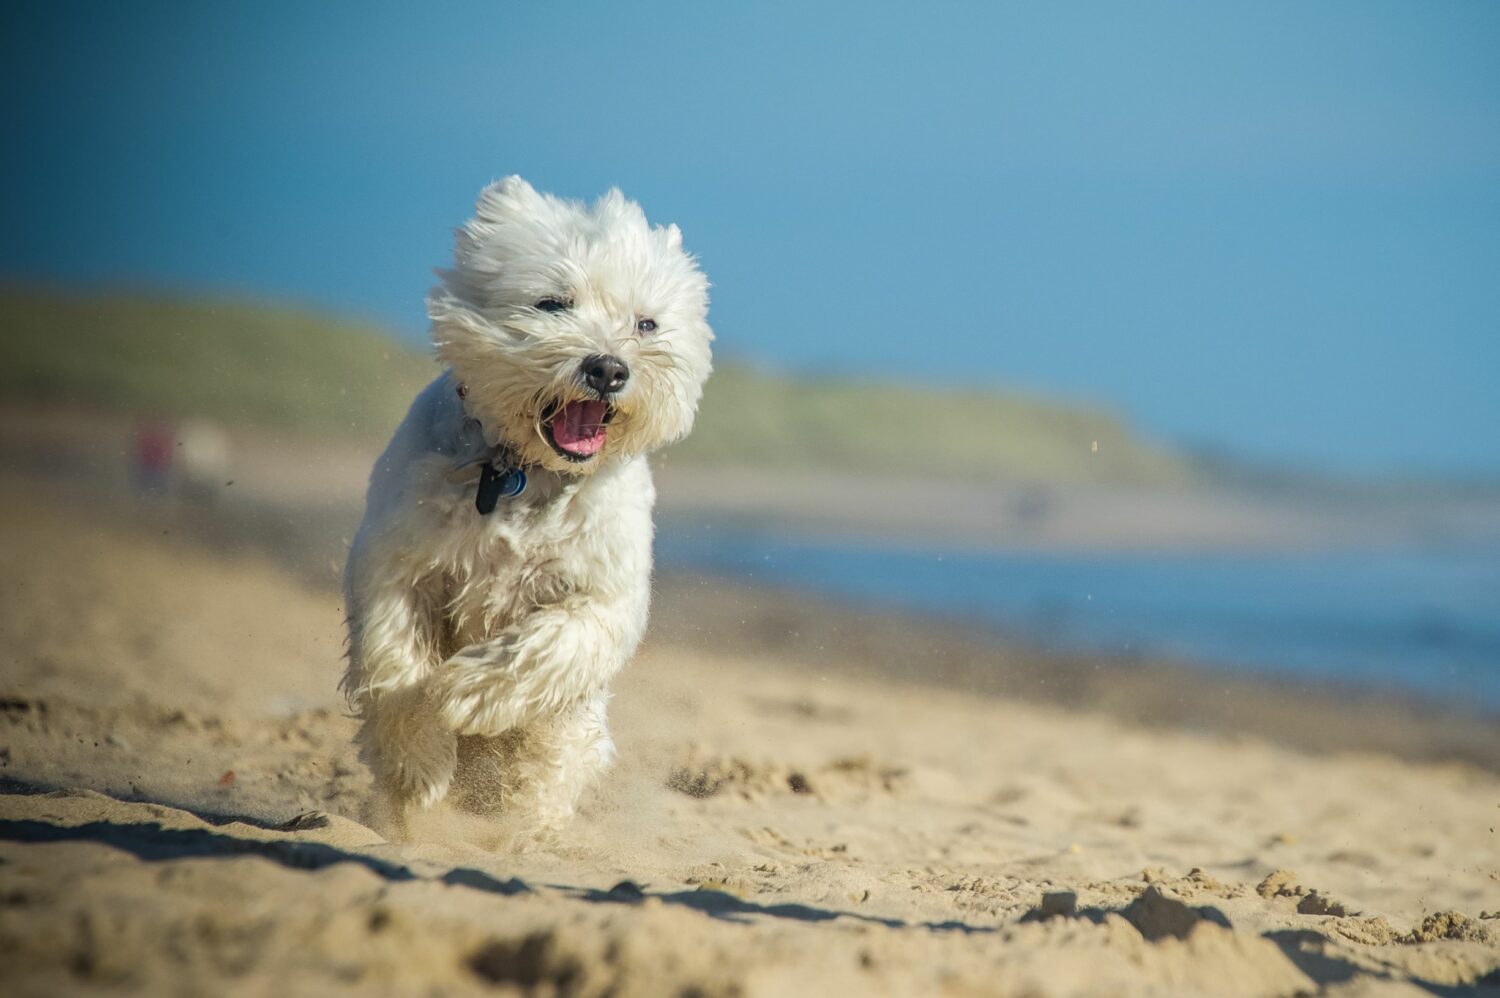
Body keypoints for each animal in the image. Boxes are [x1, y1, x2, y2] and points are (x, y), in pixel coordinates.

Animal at [342, 179, 714, 834]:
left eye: (646, 324)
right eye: (552, 303)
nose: (608, 369)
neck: (524, 472)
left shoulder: (603, 592)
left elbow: (551, 644)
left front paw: (464, 692)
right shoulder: (398, 562)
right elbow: (393, 660)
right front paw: (419, 764)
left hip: (577, 734)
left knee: (553, 761)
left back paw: (523, 828)